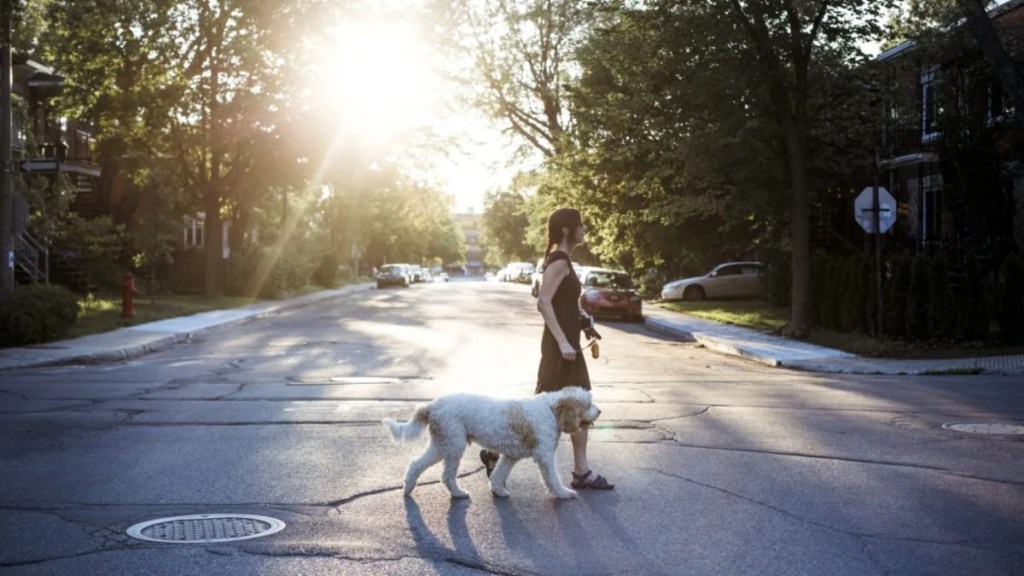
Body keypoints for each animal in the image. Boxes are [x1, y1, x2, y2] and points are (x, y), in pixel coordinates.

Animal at [385, 385, 598, 498]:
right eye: (587, 405)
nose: (599, 411)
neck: (551, 410)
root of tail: (431, 405)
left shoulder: (511, 456)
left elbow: (498, 473)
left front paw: (498, 490)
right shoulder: (544, 457)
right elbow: (552, 478)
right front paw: (564, 493)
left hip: (441, 444)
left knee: (416, 464)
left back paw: (408, 488)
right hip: (454, 446)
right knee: (447, 475)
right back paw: (458, 493)